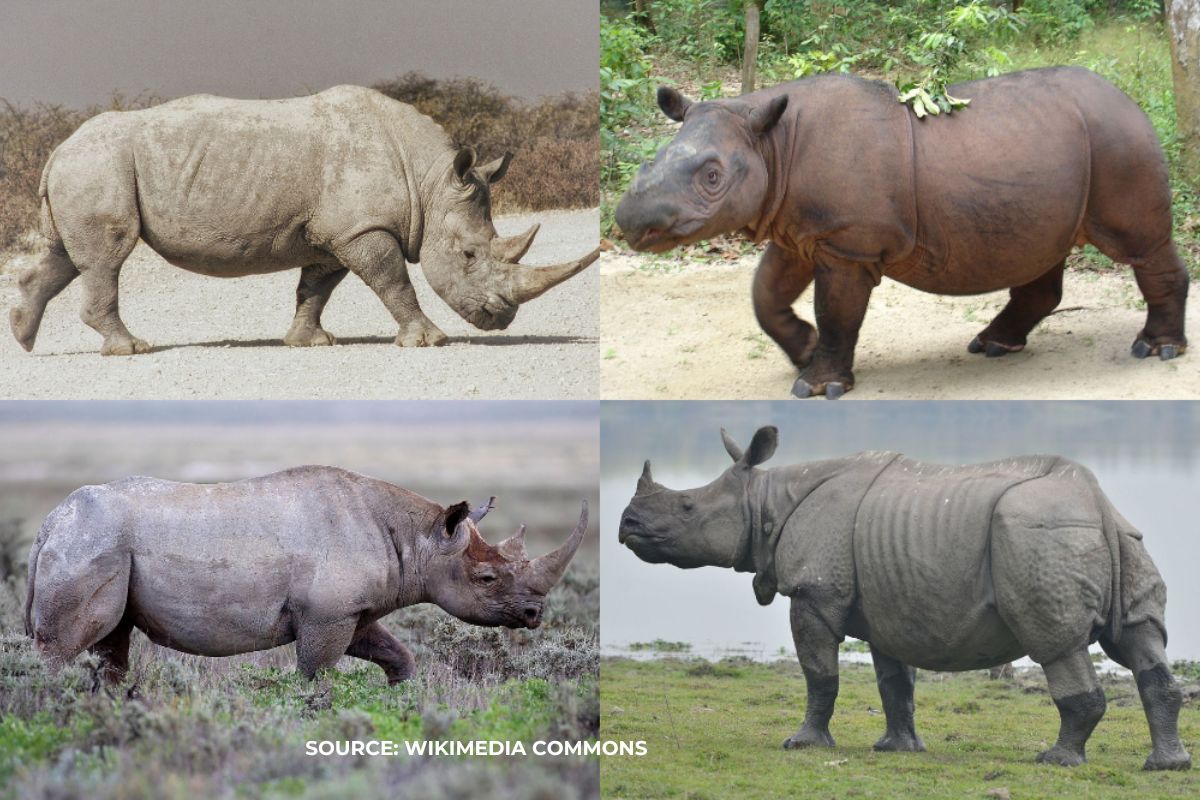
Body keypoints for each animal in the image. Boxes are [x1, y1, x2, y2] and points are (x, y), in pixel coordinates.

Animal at [9, 85, 598, 355]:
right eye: (470, 255)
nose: (501, 318)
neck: (428, 183)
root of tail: (57, 149)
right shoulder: (362, 229)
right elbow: (394, 281)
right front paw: (429, 341)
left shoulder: (333, 232)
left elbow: (317, 287)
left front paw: (310, 343)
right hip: (98, 166)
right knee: (107, 256)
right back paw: (131, 350)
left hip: (88, 169)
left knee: (67, 255)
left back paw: (23, 337)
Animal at [25, 466, 588, 685]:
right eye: (487, 580)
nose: (535, 614)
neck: (422, 537)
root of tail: (50, 523)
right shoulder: (327, 615)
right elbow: (316, 676)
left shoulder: (350, 611)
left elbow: (396, 654)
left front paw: (401, 698)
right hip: (91, 541)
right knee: (66, 646)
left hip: (99, 542)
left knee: (112, 644)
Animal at [614, 67, 1189, 398]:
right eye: (651, 161)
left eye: (712, 177)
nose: (629, 222)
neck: (770, 142)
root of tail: (1130, 99)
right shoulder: (800, 230)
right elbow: (765, 295)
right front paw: (804, 350)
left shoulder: (847, 243)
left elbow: (837, 311)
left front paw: (817, 387)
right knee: (1040, 252)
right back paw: (993, 346)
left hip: (1119, 140)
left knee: (1140, 246)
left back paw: (1156, 351)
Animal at [618, 426, 1190, 770]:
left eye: (687, 508)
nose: (626, 525)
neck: (765, 502)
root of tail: (1095, 502)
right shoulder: (889, 601)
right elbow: (895, 683)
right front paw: (898, 749)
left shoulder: (815, 593)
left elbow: (819, 675)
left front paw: (802, 744)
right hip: (1119, 538)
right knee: (1140, 641)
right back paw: (1166, 766)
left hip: (1038, 536)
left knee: (1056, 643)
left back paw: (1056, 760)